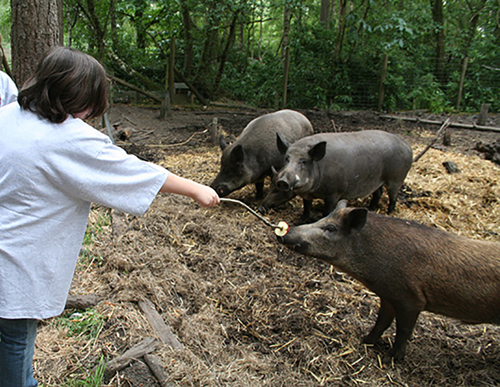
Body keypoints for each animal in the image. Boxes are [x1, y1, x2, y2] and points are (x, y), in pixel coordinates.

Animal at [280, 202, 500, 366]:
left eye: (331, 228)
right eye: (322, 219)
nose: (285, 231)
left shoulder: (412, 299)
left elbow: (403, 330)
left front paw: (389, 360)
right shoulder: (388, 295)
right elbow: (382, 321)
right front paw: (365, 341)